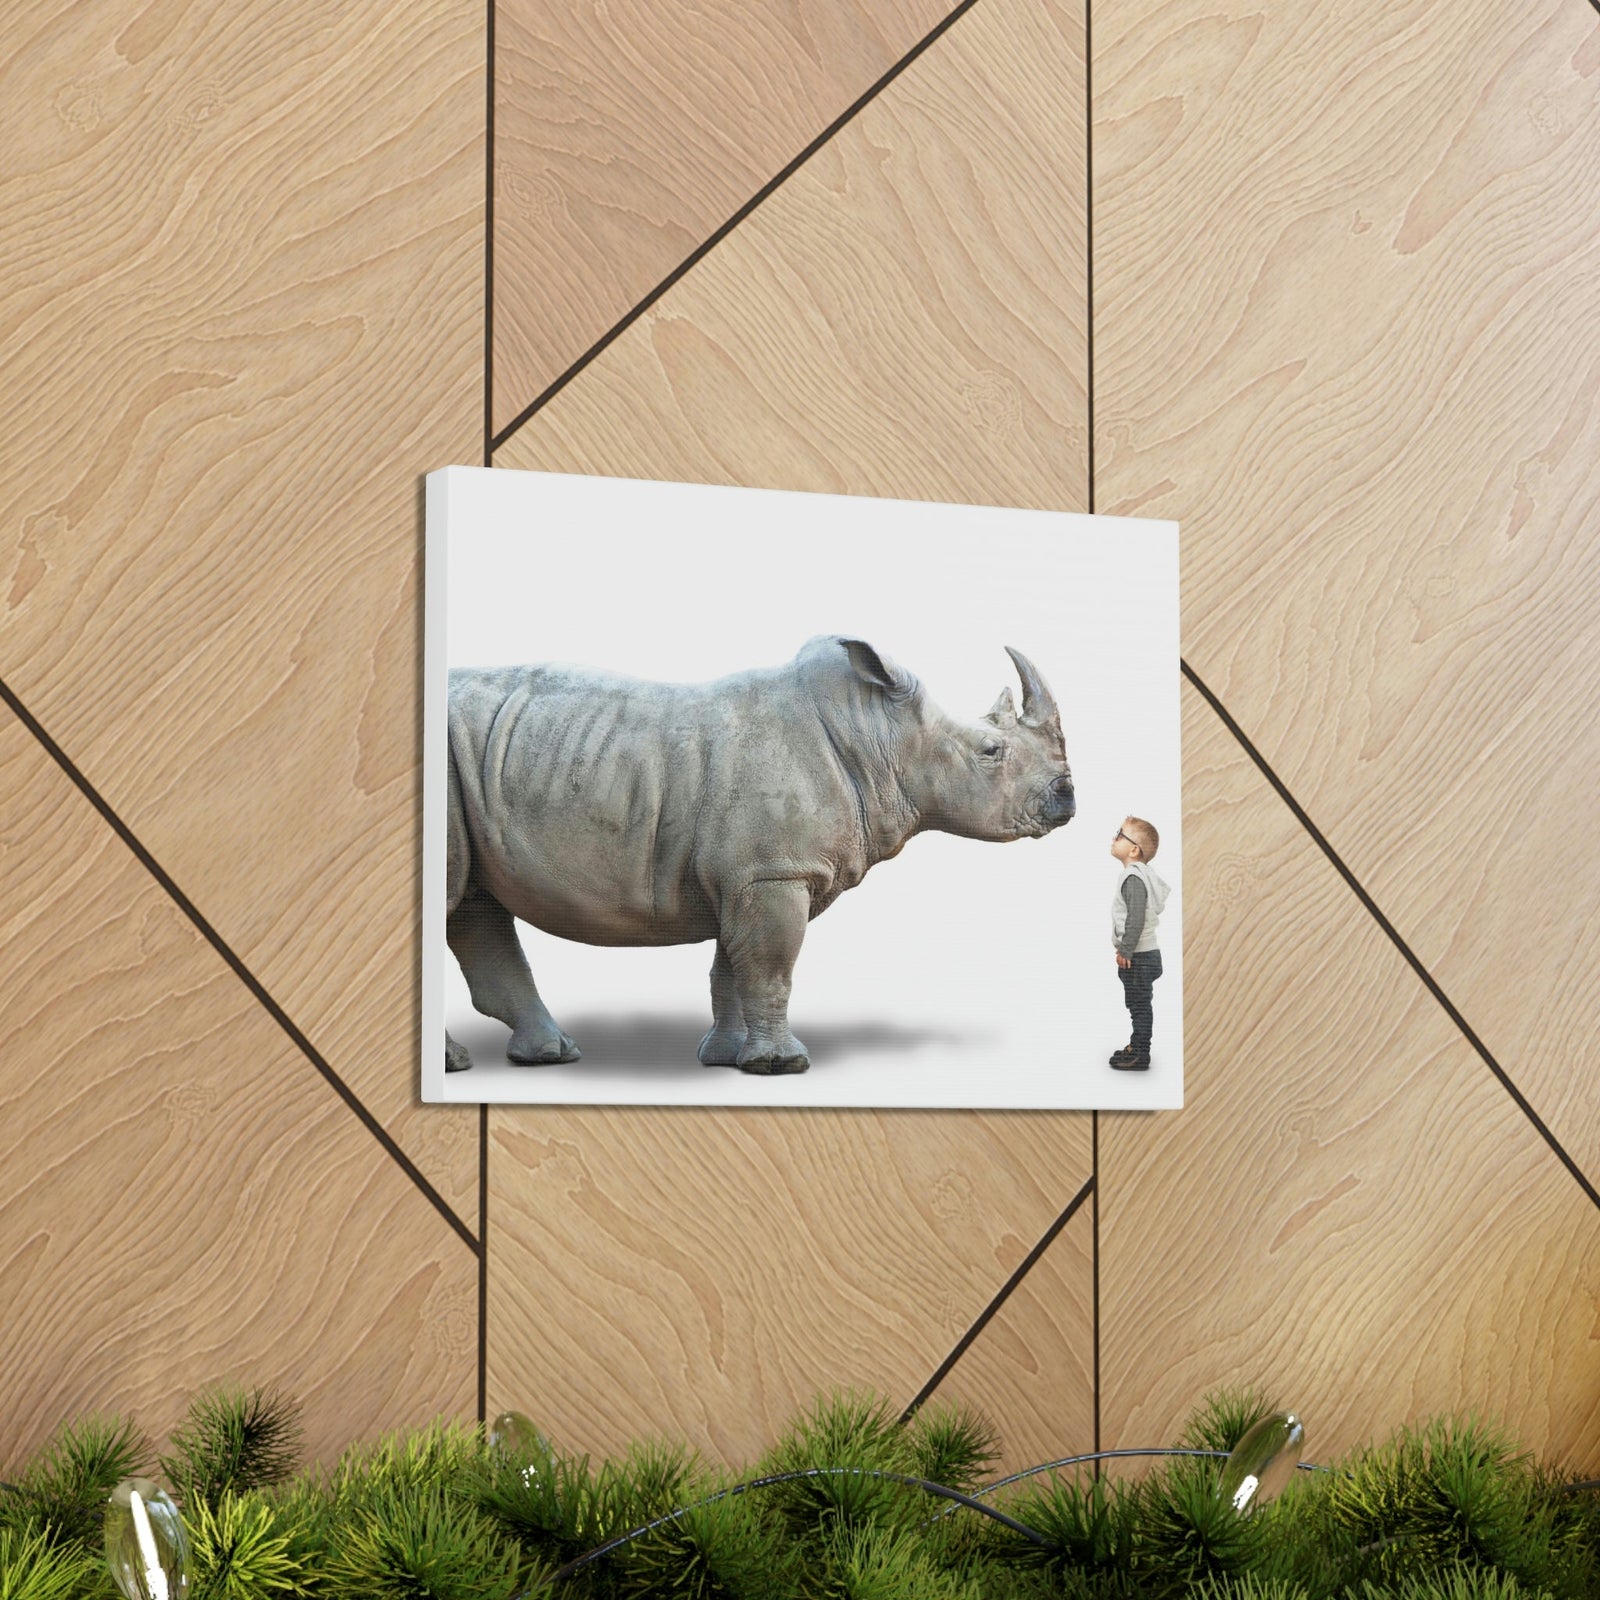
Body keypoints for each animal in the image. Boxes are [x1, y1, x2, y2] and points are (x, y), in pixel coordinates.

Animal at [445, 635, 1075, 1075]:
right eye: (990, 751)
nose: (1068, 797)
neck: (881, 739)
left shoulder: (748, 873)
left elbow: (732, 967)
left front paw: (724, 1058)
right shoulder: (773, 873)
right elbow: (771, 966)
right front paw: (783, 1065)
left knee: (471, 903)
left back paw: (548, 1055)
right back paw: (462, 1064)